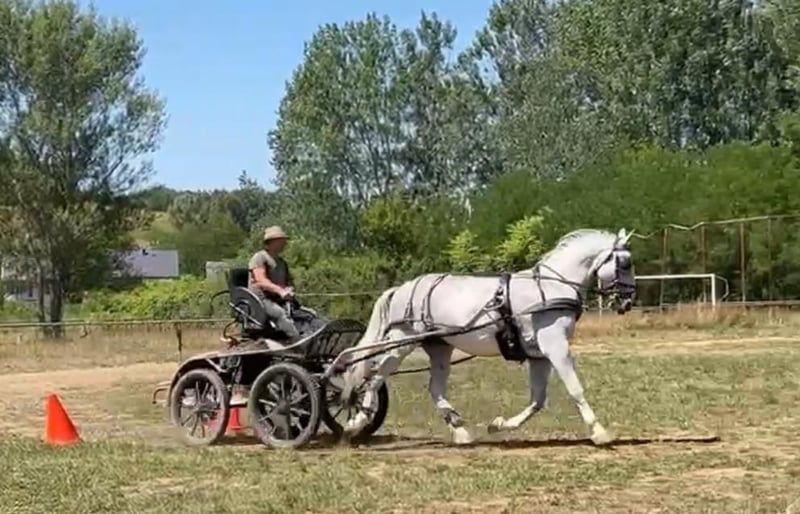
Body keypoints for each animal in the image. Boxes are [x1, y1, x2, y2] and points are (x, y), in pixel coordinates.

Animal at [340, 228, 636, 445]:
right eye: (625, 263)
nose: (628, 301)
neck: (550, 288)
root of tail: (403, 288)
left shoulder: (539, 356)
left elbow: (537, 400)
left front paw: (499, 425)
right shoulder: (556, 347)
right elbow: (575, 388)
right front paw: (599, 432)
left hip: (439, 347)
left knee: (433, 388)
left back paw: (459, 430)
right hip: (402, 341)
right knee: (376, 376)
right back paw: (357, 421)